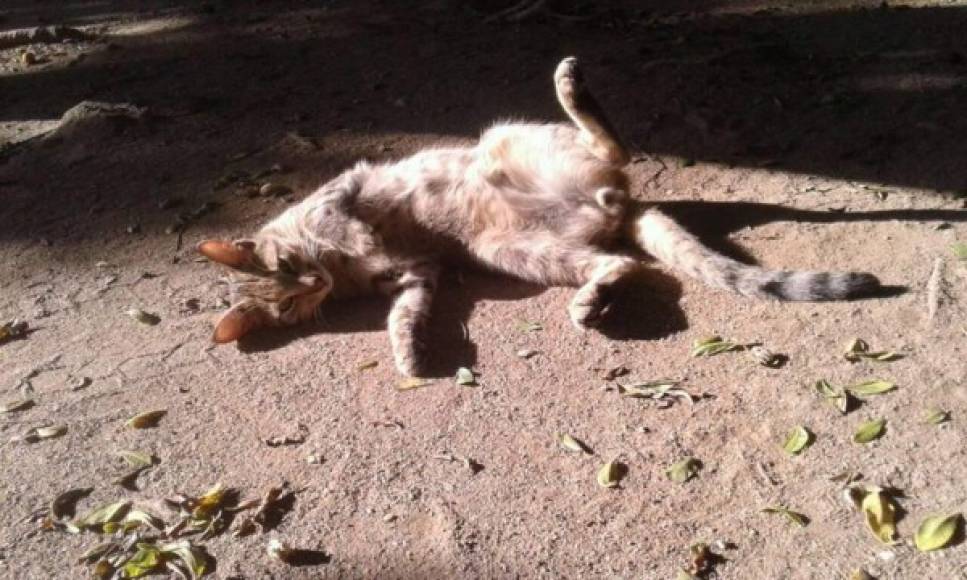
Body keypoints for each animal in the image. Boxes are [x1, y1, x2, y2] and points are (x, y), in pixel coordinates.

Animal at [195, 57, 876, 376]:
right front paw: (409, 354)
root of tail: (620, 206)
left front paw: (358, 235)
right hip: (513, 251)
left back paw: (571, 86)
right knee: (623, 262)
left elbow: (350, 213)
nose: (313, 282)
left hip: (510, 137)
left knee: (617, 148)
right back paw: (592, 300)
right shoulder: (417, 275)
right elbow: (404, 316)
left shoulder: (344, 192)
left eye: (289, 267)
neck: (337, 267)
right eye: (288, 302)